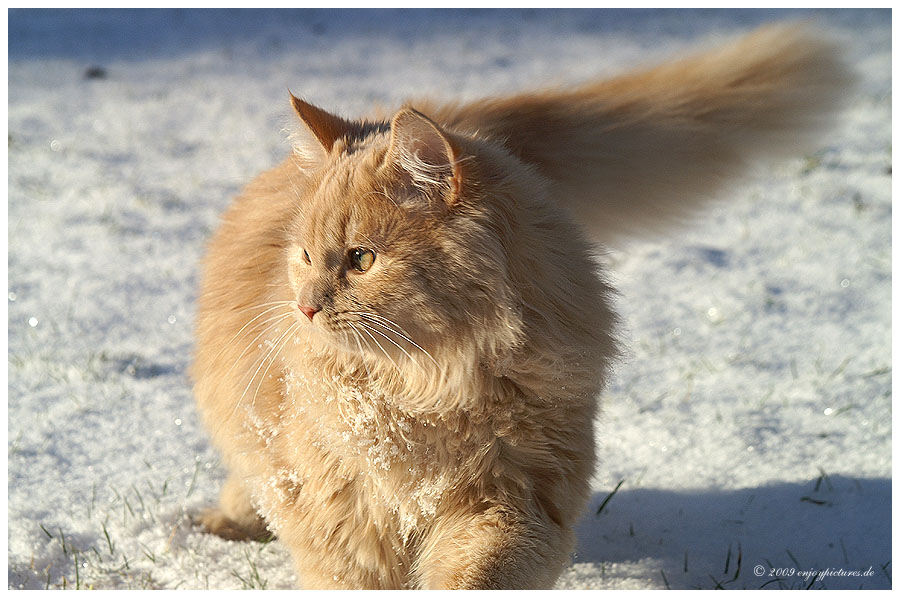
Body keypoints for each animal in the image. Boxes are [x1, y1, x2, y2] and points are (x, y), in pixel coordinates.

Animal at [192, 24, 852, 592]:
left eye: (361, 259)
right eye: (305, 255)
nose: (305, 307)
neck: (427, 388)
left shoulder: (511, 501)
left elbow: (478, 572)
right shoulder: (342, 520)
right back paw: (229, 521)